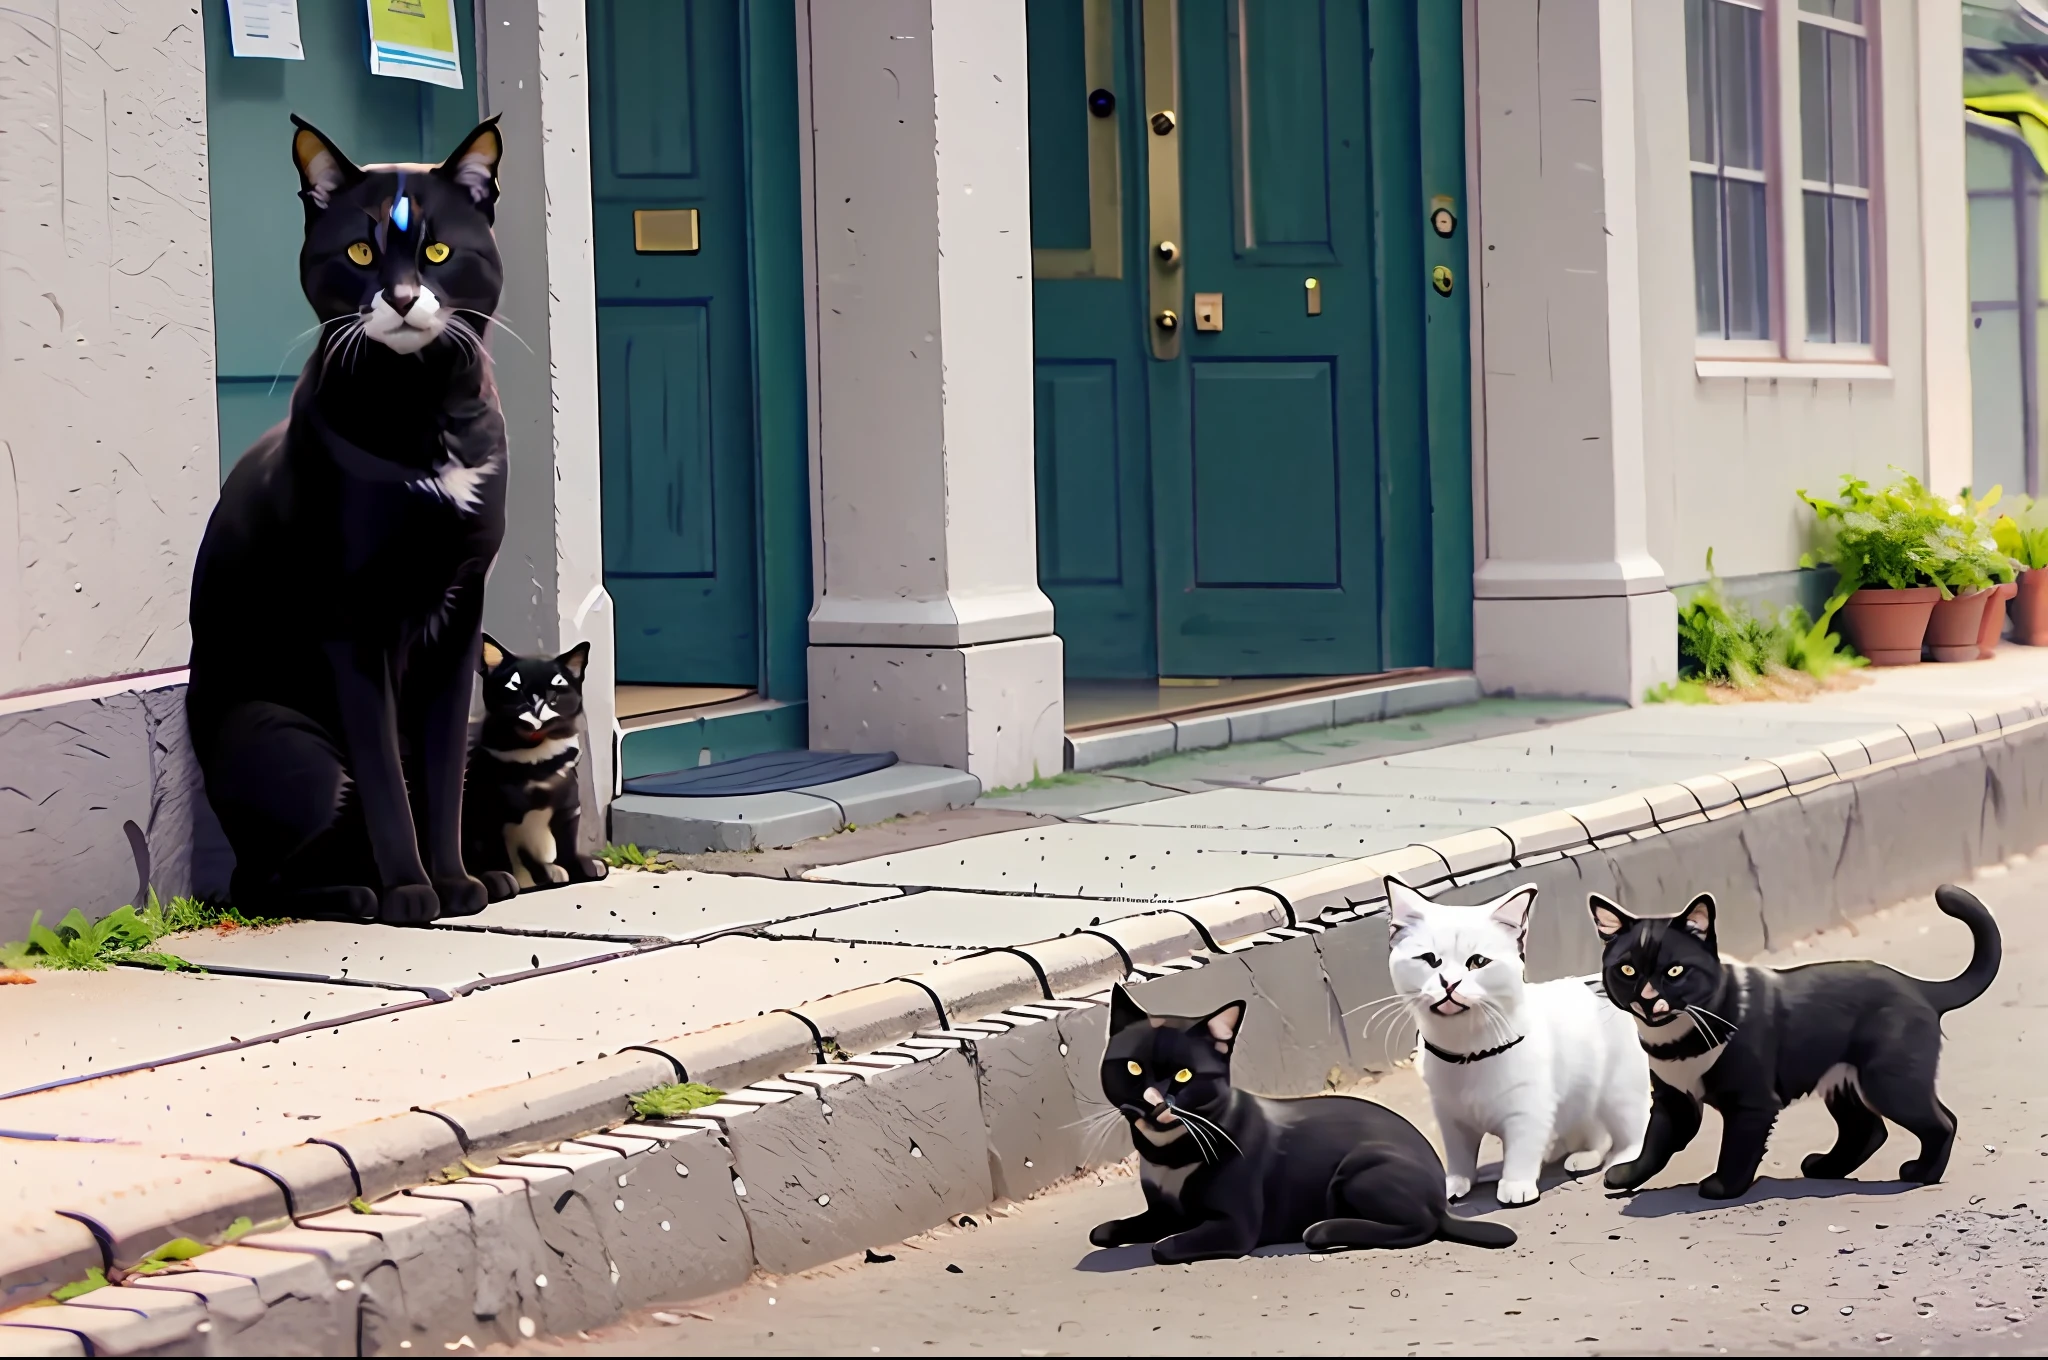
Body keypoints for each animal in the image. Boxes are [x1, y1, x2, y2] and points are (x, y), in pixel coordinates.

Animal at [188, 116, 516, 925]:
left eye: (437, 251)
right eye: (359, 253)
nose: (399, 297)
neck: (424, 402)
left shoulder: (461, 611)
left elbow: (435, 773)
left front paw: (455, 882)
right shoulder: (351, 623)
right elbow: (384, 779)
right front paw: (411, 892)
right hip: (287, 745)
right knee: (259, 883)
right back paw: (360, 894)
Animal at [468, 634, 610, 893]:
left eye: (556, 691)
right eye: (515, 688)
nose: (537, 705)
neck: (537, 759)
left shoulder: (568, 810)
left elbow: (567, 845)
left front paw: (576, 868)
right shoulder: (492, 815)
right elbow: (501, 853)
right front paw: (516, 879)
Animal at [1089, 983, 1523, 1261]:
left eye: (1184, 1075)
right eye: (1132, 1068)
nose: (1153, 1100)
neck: (1171, 1150)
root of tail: (1440, 1199)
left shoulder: (1235, 1225)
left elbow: (1163, 1246)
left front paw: (1163, 1244)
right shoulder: (1163, 1212)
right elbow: (1107, 1229)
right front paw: (1113, 1230)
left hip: (1361, 1169)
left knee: (1418, 1227)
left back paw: (1327, 1230)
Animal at [1384, 876, 1654, 1204]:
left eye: (1477, 962)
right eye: (1429, 960)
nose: (1449, 983)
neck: (1467, 1053)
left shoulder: (1527, 1111)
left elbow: (1520, 1153)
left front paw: (1515, 1186)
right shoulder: (1451, 1119)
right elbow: (1459, 1158)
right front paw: (1457, 1183)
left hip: (1618, 1093)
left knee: (1633, 1131)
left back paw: (1620, 1160)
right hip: (1580, 1098)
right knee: (1594, 1134)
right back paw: (1580, 1157)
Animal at [1589, 880, 2007, 1204]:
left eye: (1675, 971)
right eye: (1627, 970)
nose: (1647, 997)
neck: (1676, 1040)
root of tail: (1920, 987)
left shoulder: (1752, 1102)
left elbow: (1737, 1147)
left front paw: (1722, 1187)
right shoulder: (1674, 1099)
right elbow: (1656, 1141)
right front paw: (1626, 1176)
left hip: (1888, 1081)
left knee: (1941, 1121)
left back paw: (1922, 1173)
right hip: (1844, 1081)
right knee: (1867, 1129)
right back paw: (1825, 1167)